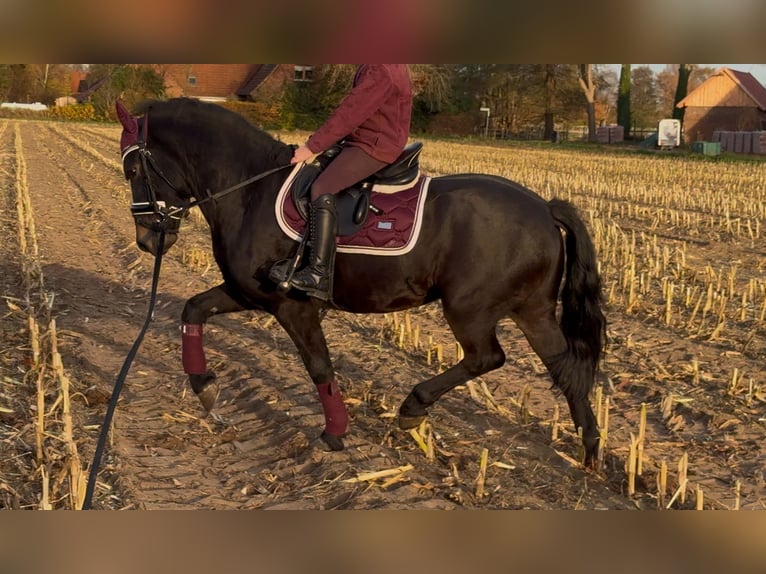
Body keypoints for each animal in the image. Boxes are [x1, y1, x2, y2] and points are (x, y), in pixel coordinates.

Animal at [115, 97, 607, 467]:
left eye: (133, 170)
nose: (147, 239)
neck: (249, 189)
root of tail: (544, 207)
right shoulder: (246, 293)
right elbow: (192, 308)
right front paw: (205, 386)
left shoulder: (293, 305)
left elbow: (320, 367)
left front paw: (335, 432)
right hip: (532, 311)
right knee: (566, 368)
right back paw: (590, 453)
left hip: (470, 309)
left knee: (488, 357)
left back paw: (413, 407)